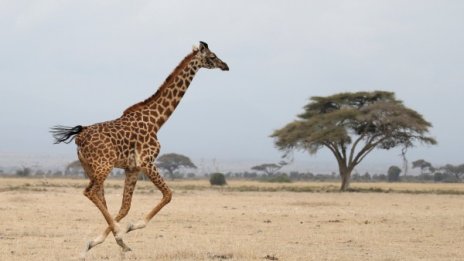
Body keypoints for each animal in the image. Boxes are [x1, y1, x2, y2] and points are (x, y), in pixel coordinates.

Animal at [50, 41, 228, 254]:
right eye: (212, 56)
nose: (225, 65)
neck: (157, 120)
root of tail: (79, 137)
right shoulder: (147, 161)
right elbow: (168, 194)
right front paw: (128, 229)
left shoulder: (132, 168)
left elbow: (125, 207)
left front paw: (111, 239)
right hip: (104, 165)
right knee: (90, 192)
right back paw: (115, 233)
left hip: (90, 168)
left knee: (100, 197)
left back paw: (102, 241)